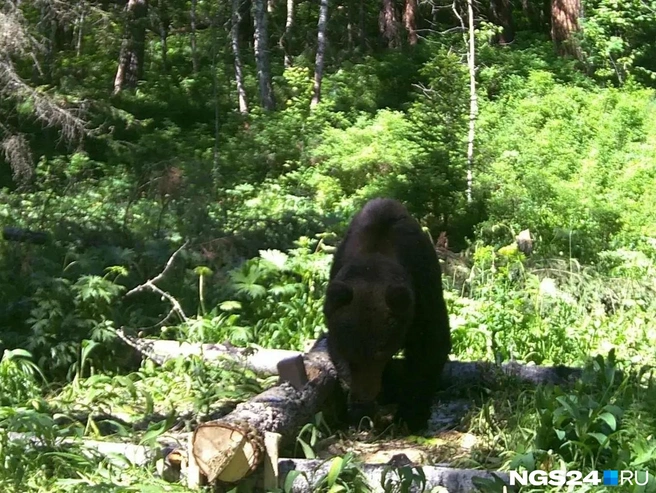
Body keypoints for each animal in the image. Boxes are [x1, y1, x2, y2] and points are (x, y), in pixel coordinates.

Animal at [322, 198, 452, 433]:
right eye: (350, 353)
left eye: (380, 352)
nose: (363, 396)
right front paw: (362, 410)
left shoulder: (423, 287)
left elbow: (430, 345)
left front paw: (410, 416)